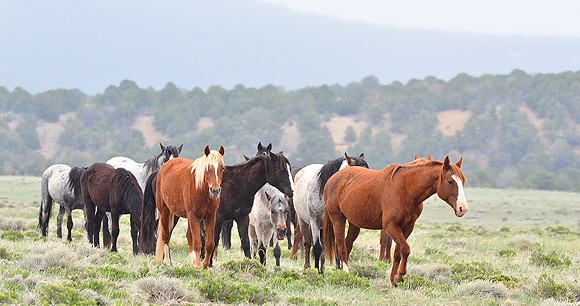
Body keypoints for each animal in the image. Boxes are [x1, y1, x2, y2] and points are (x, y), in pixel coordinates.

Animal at [324, 155, 468, 286]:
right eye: (450, 181)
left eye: (463, 181)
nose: (463, 208)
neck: (406, 189)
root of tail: (333, 178)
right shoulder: (390, 226)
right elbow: (405, 249)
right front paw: (400, 275)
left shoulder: (407, 227)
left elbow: (398, 252)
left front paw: (394, 279)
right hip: (337, 218)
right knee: (341, 246)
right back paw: (346, 273)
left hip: (354, 224)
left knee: (347, 245)